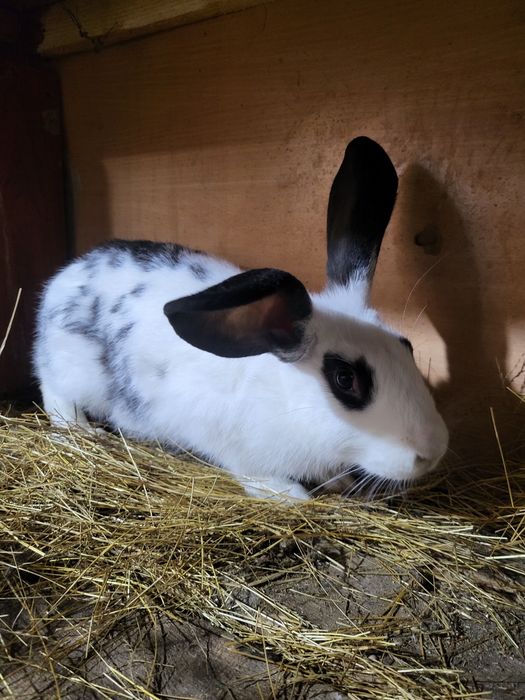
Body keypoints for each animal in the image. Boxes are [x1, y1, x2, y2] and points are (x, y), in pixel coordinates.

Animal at [33, 136, 448, 500]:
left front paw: (341, 483)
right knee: (56, 396)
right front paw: (292, 496)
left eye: (408, 346)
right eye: (345, 379)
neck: (285, 400)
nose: (433, 452)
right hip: (72, 371)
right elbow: (260, 476)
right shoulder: (240, 450)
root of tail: (64, 278)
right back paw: (86, 430)